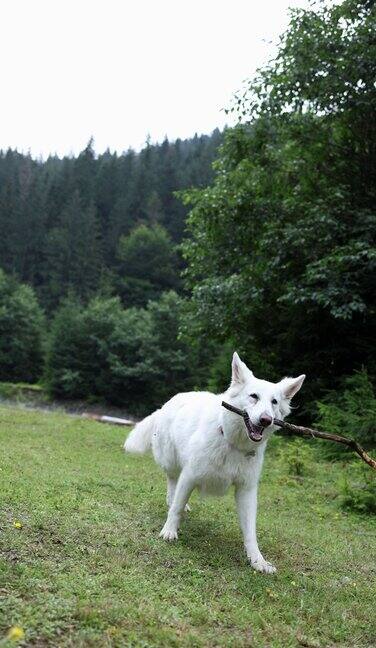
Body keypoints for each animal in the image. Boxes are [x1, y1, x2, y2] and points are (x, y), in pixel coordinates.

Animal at [124, 354, 306, 572]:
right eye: (254, 396)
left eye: (274, 402)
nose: (265, 420)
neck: (233, 443)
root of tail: (167, 403)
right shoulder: (190, 475)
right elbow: (176, 507)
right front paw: (169, 530)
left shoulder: (246, 490)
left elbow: (250, 531)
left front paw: (257, 560)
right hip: (171, 461)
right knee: (172, 482)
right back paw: (171, 501)